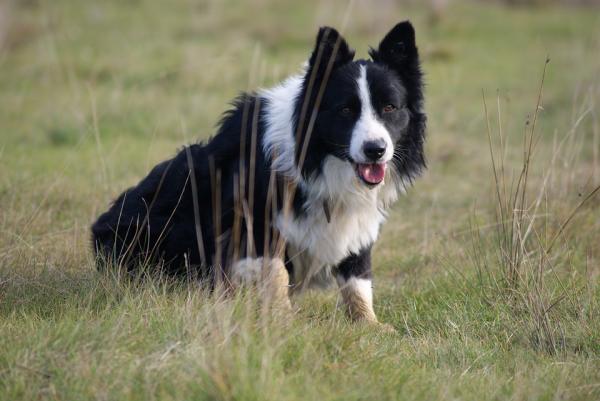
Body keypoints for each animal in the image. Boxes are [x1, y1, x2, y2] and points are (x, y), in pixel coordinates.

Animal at [91, 21, 424, 322]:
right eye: (345, 110)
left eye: (390, 108)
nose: (375, 149)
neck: (316, 159)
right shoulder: (250, 218)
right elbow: (275, 271)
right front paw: (283, 321)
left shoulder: (356, 223)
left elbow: (358, 279)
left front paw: (371, 326)